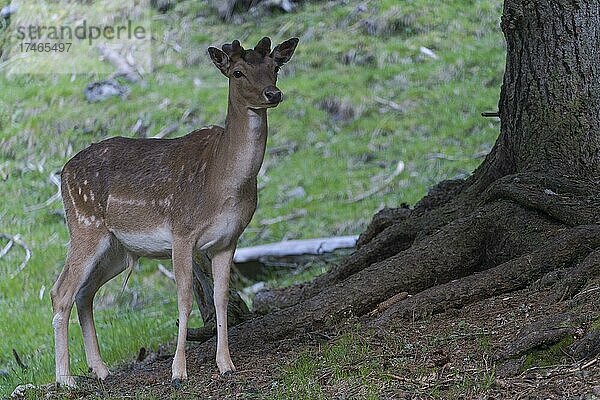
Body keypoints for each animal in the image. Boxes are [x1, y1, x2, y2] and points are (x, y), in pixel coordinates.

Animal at [50, 36, 298, 386]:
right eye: (237, 72)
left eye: (275, 67)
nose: (272, 94)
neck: (224, 182)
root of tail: (62, 173)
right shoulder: (182, 232)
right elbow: (184, 296)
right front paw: (178, 371)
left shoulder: (229, 240)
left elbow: (221, 296)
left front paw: (226, 363)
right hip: (84, 225)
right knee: (61, 292)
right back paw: (65, 378)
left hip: (117, 249)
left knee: (84, 293)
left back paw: (100, 369)